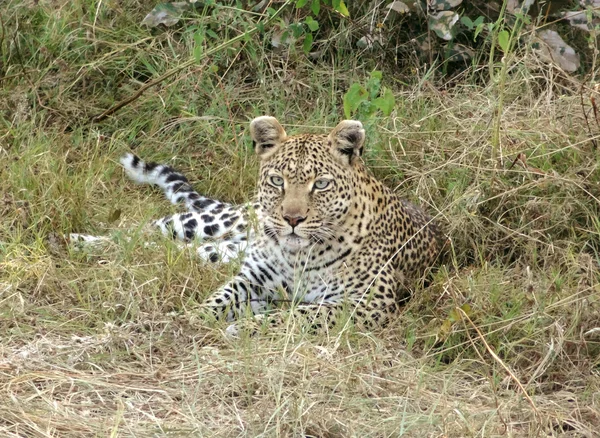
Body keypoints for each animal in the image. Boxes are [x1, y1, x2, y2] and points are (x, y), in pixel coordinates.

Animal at [76, 116, 440, 332]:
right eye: (278, 180)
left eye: (321, 184)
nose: (292, 219)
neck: (299, 255)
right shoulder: (254, 278)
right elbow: (218, 299)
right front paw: (190, 318)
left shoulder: (368, 302)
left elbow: (302, 314)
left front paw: (248, 328)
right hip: (217, 222)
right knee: (149, 231)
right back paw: (80, 242)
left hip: (218, 251)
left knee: (169, 251)